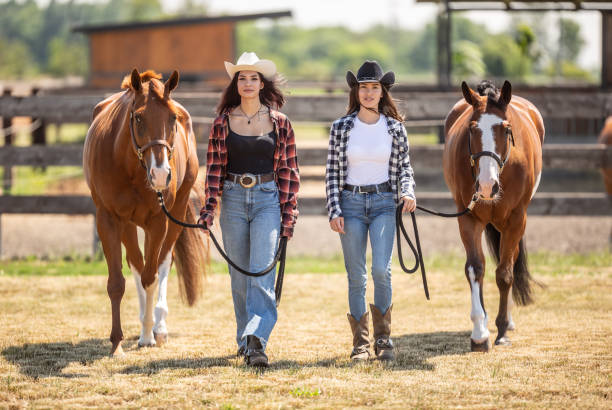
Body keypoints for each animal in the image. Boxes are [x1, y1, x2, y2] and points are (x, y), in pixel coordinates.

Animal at [83, 68, 208, 356]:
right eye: (138, 117)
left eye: (172, 118)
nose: (161, 174)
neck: (130, 166)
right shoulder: (107, 219)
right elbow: (117, 282)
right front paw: (116, 343)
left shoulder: (158, 221)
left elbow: (152, 276)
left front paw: (150, 335)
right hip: (128, 225)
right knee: (136, 264)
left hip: (176, 215)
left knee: (162, 263)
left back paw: (157, 328)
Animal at [444, 81, 544, 352]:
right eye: (471, 128)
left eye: (506, 128)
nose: (487, 186)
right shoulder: (468, 219)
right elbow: (475, 268)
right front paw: (480, 333)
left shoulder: (516, 220)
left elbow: (505, 273)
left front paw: (501, 330)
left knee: (508, 262)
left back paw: (506, 321)